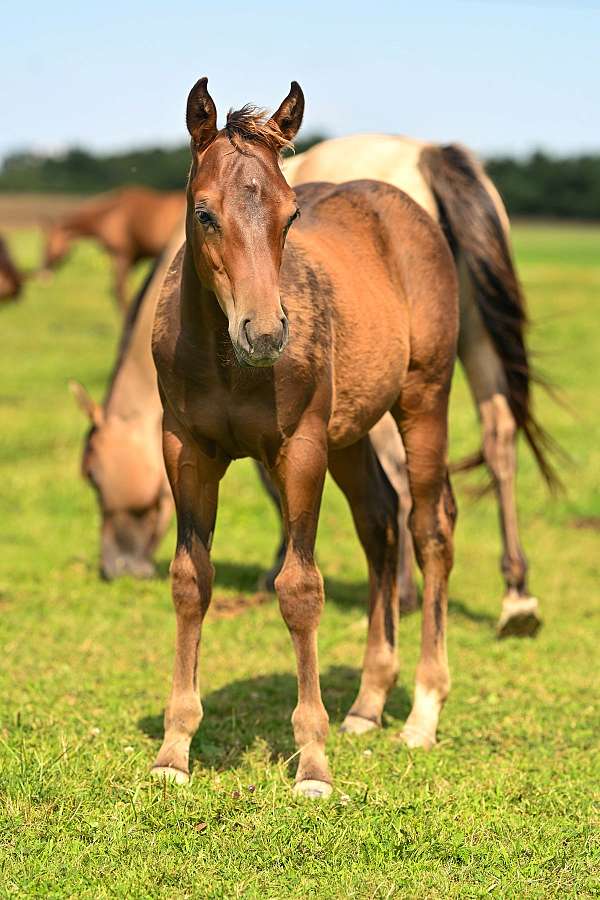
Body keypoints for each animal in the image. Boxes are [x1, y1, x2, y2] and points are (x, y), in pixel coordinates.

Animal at [42, 186, 185, 311]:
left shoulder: (121, 255)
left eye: (48, 245)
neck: (111, 215)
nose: (43, 273)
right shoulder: (127, 259)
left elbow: (119, 291)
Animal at [149, 77, 459, 797]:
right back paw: (368, 704)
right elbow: (190, 579)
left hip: (423, 400)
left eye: (290, 216)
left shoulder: (300, 449)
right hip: (351, 433)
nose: (265, 333)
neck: (227, 361)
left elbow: (299, 588)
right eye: (203, 213)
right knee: (380, 522)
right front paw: (175, 750)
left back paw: (423, 714)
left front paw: (313, 764)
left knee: (430, 528)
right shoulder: (185, 449)